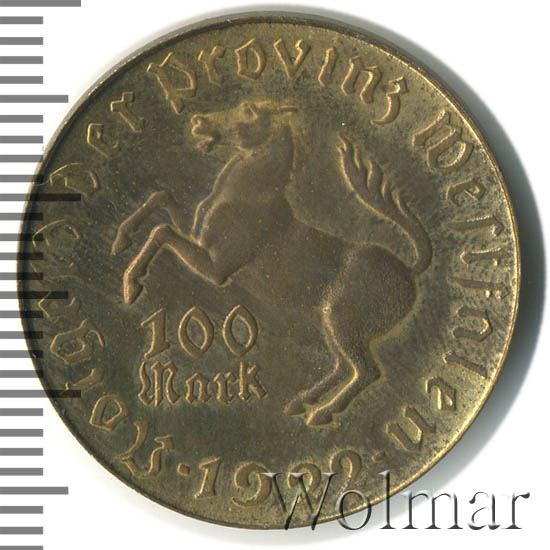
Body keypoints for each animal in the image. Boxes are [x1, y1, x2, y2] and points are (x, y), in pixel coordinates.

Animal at [111, 99, 432, 426]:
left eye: (249, 111)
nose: (199, 121)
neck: (247, 195)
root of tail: (411, 271)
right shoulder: (198, 236)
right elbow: (161, 198)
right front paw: (121, 239)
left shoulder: (218, 268)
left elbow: (162, 231)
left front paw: (131, 284)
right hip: (332, 320)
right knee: (345, 366)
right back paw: (301, 402)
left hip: (345, 323)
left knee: (367, 371)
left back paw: (321, 413)